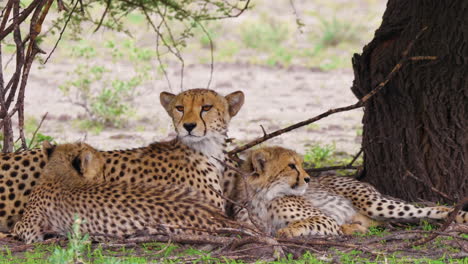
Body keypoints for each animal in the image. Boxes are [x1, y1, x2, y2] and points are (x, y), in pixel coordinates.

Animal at [234, 145, 468, 238]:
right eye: (292, 166)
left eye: (299, 164)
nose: (308, 179)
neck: (264, 196)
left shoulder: (324, 218)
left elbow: (303, 223)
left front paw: (288, 231)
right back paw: (352, 228)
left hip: (376, 204)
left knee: (436, 209)